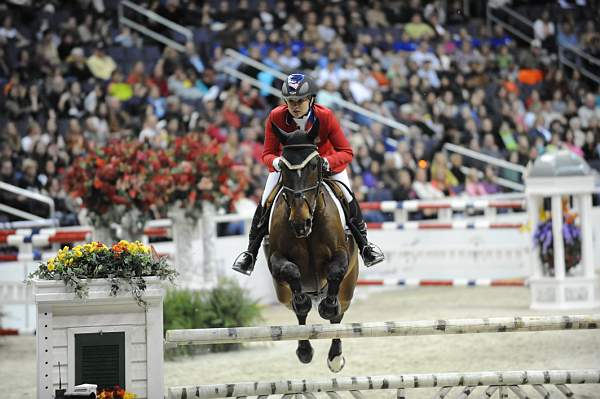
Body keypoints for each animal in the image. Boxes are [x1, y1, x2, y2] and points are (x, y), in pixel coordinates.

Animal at [264, 126, 358, 376]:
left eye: (315, 165)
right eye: (283, 167)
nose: (300, 222)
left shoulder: (342, 254)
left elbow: (335, 272)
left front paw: (328, 307)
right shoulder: (276, 258)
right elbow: (291, 271)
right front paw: (303, 301)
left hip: (348, 289)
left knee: (339, 315)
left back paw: (335, 357)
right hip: (282, 294)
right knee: (298, 312)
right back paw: (305, 349)